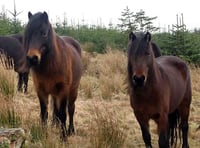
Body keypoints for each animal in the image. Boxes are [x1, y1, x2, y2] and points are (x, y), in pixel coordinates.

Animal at [23, 11, 82, 139]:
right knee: (56, 109)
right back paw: (56, 125)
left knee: (70, 109)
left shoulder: (63, 90)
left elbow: (63, 114)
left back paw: (71, 130)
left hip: (73, 90)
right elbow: (44, 114)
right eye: (27, 33)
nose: (32, 58)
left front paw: (63, 137)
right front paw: (44, 134)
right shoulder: (41, 91)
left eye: (44, 33)